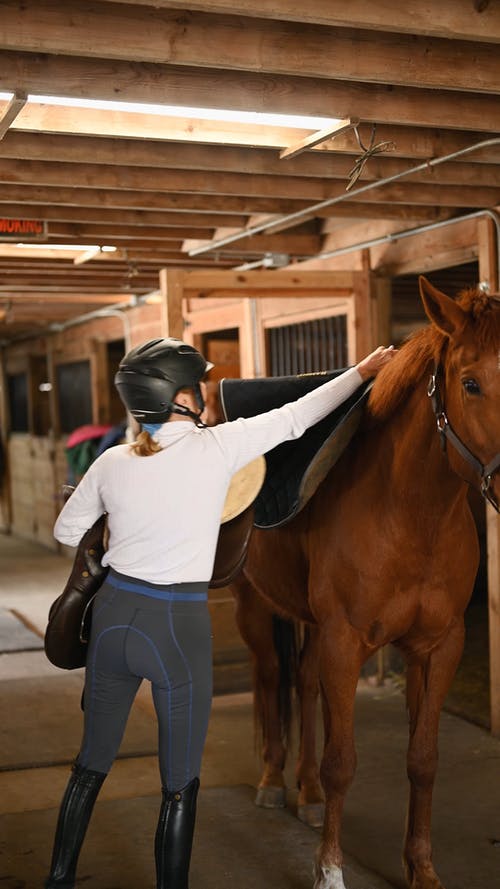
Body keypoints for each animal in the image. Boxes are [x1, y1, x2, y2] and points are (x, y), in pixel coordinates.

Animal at [229, 280, 500, 888]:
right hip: (255, 607)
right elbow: (343, 761)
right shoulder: (345, 640)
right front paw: (329, 869)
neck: (410, 514)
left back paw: (305, 794)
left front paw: (421, 867)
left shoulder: (438, 645)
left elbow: (423, 759)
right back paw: (272, 782)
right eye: (471, 383)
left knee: (303, 684)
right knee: (271, 676)